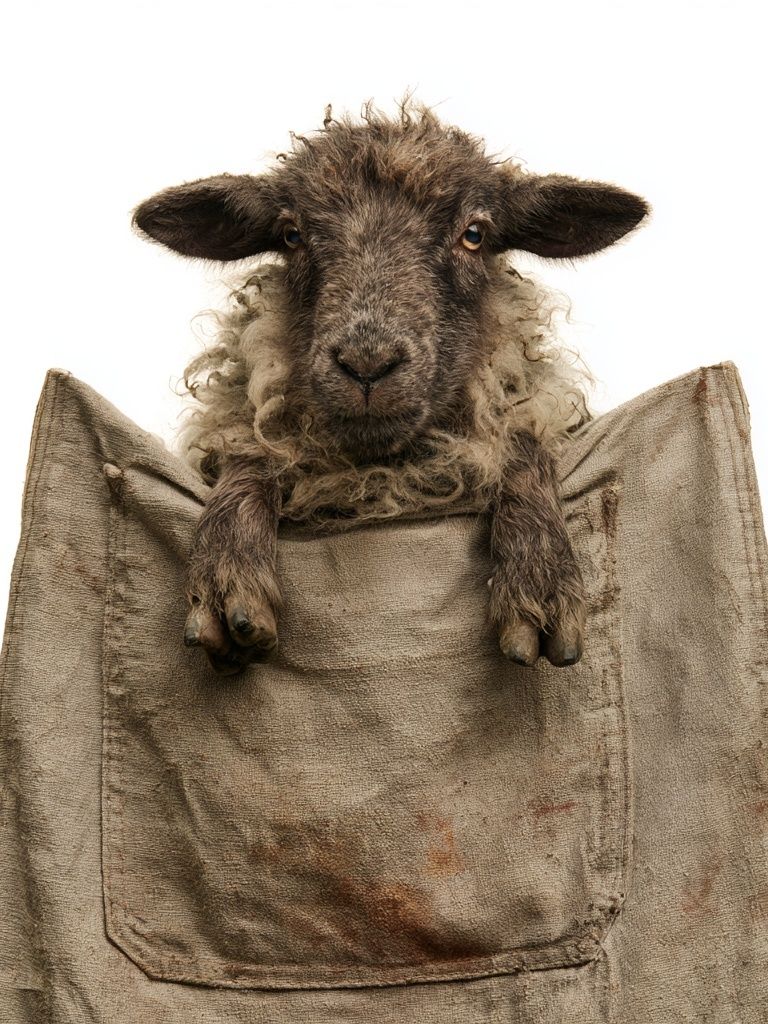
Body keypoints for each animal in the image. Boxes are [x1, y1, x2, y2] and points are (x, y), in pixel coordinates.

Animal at [132, 99, 649, 676]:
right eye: (291, 235)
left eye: (474, 233)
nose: (367, 365)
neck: (381, 471)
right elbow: (251, 446)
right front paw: (227, 571)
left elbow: (518, 440)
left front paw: (539, 575)